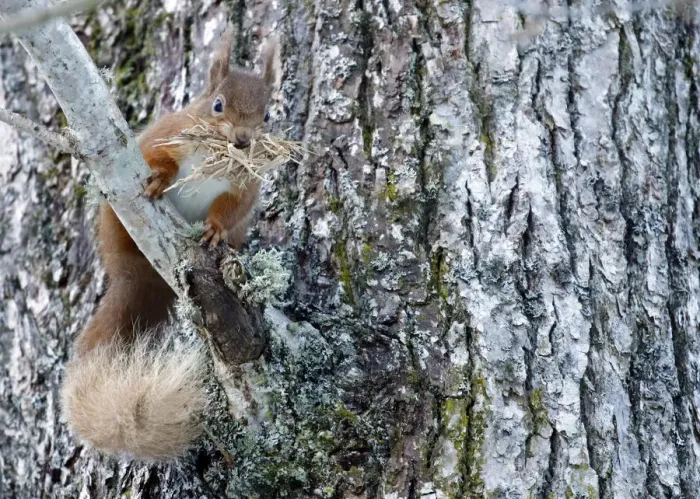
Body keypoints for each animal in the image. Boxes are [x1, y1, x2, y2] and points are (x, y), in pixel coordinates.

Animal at [61, 28, 277, 461]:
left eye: (267, 115)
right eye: (217, 104)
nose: (243, 141)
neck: (215, 157)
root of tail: (135, 275)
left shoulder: (243, 188)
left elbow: (229, 210)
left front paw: (215, 230)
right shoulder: (168, 136)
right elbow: (158, 158)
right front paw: (160, 178)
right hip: (116, 223)